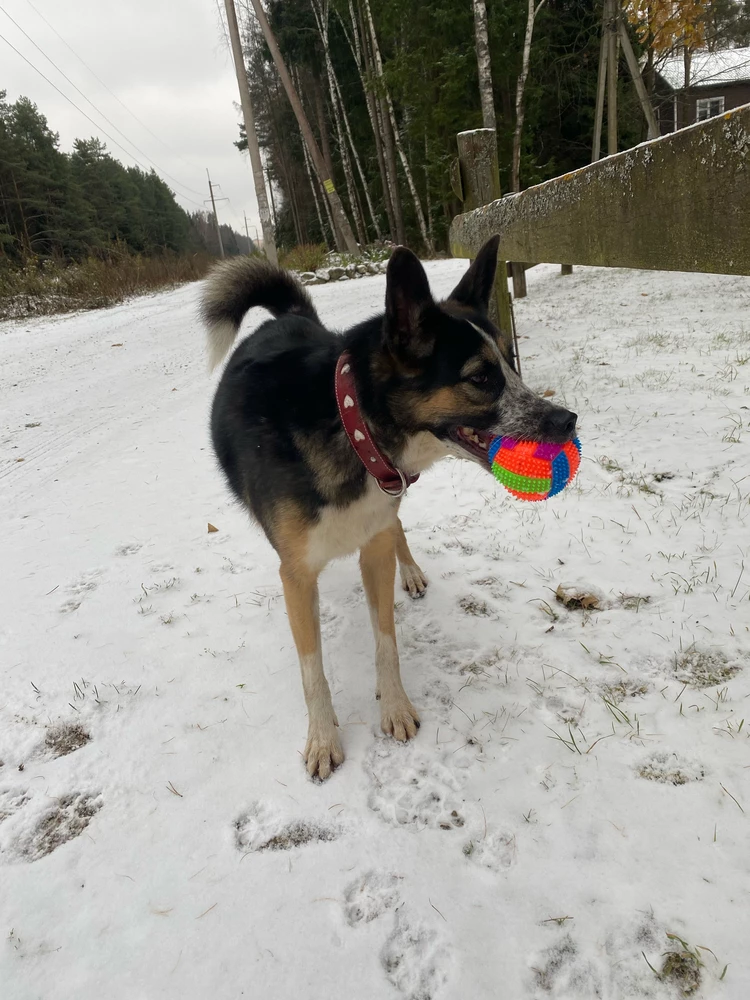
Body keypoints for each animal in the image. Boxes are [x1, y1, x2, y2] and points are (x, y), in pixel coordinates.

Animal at [203, 236, 580, 780]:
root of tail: (287, 317)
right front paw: (323, 738)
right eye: (481, 378)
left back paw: (413, 572)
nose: (567, 419)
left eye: (512, 363)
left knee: (398, 527)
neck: (350, 421)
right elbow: (313, 670)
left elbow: (387, 639)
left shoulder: (375, 542)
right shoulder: (296, 574)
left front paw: (395, 706)